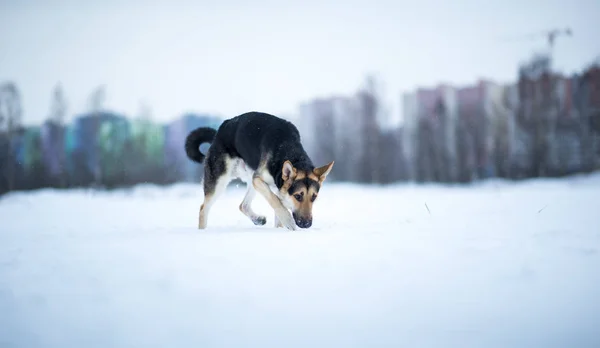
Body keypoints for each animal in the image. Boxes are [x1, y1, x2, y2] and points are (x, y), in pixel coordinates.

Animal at [184, 111, 332, 231]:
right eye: (298, 196)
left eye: (314, 197)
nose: (307, 225)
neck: (291, 153)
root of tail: (220, 131)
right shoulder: (259, 180)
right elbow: (274, 200)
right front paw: (287, 220)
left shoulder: (277, 188)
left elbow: (278, 204)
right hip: (220, 181)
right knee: (203, 209)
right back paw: (203, 232)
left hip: (250, 179)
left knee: (243, 205)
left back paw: (258, 220)